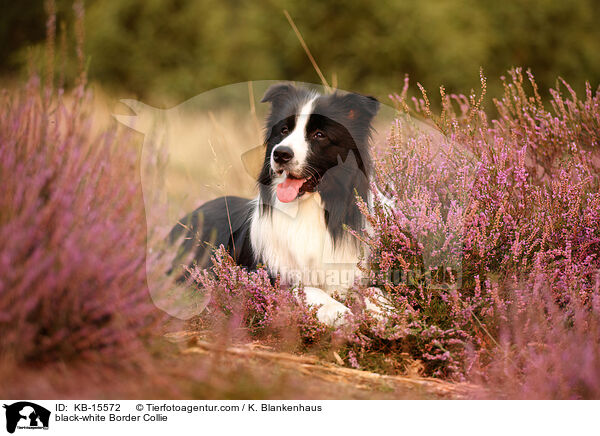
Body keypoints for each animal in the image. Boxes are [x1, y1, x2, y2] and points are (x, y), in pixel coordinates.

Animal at [169, 83, 384, 326]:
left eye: (319, 135)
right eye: (284, 130)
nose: (280, 153)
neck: (308, 209)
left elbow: (373, 290)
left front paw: (384, 309)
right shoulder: (261, 274)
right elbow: (305, 287)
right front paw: (337, 310)